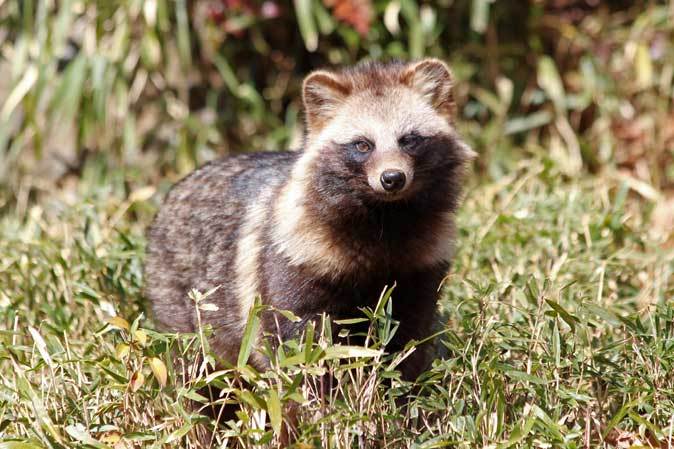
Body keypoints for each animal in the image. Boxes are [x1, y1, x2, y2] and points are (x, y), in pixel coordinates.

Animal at [144, 57, 472, 378]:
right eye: (363, 144)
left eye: (409, 140)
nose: (392, 178)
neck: (385, 216)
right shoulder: (295, 257)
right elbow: (300, 342)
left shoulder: (422, 265)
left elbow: (408, 337)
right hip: (179, 296)